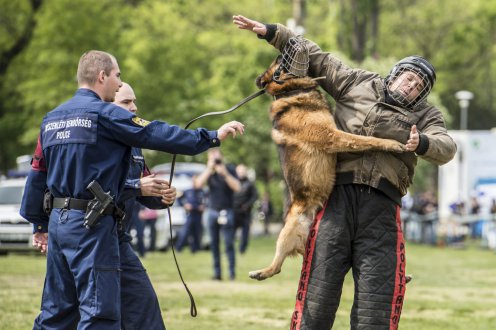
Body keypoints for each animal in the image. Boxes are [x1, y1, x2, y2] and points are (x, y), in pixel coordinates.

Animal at [250, 56, 404, 282]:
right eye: (279, 64)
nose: (281, 54)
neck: (291, 91)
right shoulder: (332, 137)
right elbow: (366, 140)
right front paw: (392, 143)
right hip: (288, 230)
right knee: (277, 266)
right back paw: (261, 272)